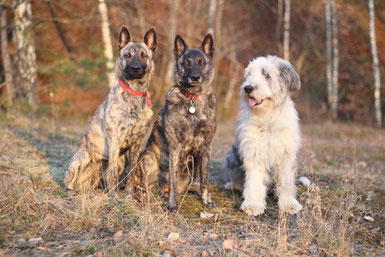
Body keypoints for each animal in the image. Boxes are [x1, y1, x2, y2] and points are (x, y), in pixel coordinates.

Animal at [64, 27, 156, 193]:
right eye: (127, 55)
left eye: (143, 55)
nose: (135, 68)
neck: (134, 94)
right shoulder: (115, 140)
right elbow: (111, 174)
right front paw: (114, 196)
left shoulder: (136, 143)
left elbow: (131, 171)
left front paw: (129, 193)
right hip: (85, 154)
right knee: (70, 182)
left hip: (120, 160)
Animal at [140, 33, 216, 210]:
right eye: (186, 63)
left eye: (202, 62)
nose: (195, 77)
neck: (192, 99)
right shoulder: (175, 146)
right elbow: (173, 178)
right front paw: (172, 204)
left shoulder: (206, 147)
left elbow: (205, 179)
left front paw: (206, 200)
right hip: (146, 157)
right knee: (145, 185)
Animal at [224, 55, 302, 215]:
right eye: (249, 74)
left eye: (266, 74)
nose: (248, 88)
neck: (267, 118)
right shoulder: (254, 152)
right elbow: (254, 181)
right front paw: (253, 205)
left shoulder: (286, 155)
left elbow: (286, 182)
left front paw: (289, 204)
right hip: (231, 157)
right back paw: (234, 185)